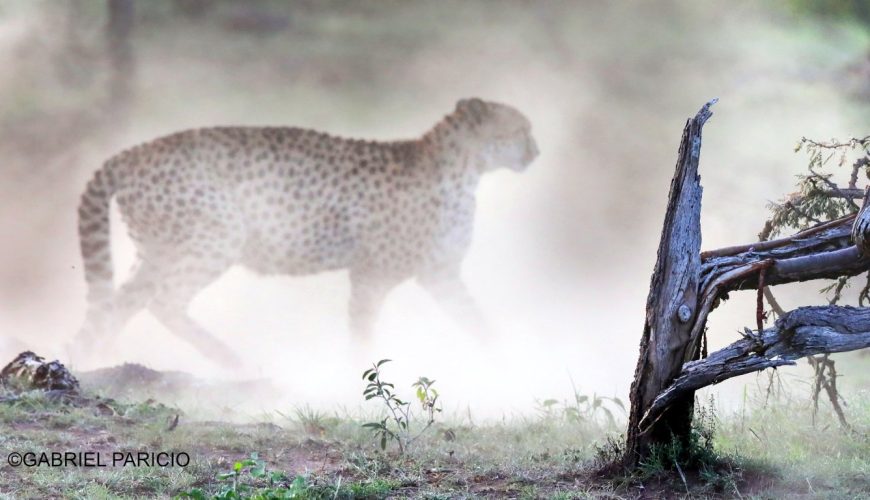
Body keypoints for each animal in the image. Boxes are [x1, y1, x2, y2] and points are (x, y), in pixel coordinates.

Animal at [74, 98, 539, 364]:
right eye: (520, 129)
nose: (536, 151)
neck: (466, 167)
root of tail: (134, 151)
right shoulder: (372, 274)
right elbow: (362, 333)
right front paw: (356, 380)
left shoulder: (441, 274)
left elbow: (477, 321)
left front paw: (511, 364)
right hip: (218, 235)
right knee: (164, 301)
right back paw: (234, 362)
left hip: (157, 250)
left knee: (117, 305)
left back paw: (94, 360)